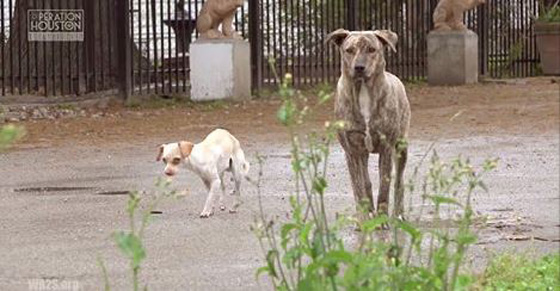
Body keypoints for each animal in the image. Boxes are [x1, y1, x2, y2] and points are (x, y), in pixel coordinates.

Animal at [328, 29, 412, 221]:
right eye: (349, 50)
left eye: (372, 49)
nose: (359, 67)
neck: (363, 92)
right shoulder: (352, 151)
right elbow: (359, 189)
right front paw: (364, 220)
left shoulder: (387, 147)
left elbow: (384, 189)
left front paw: (382, 220)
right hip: (363, 154)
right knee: (366, 183)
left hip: (402, 146)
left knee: (399, 181)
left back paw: (398, 214)